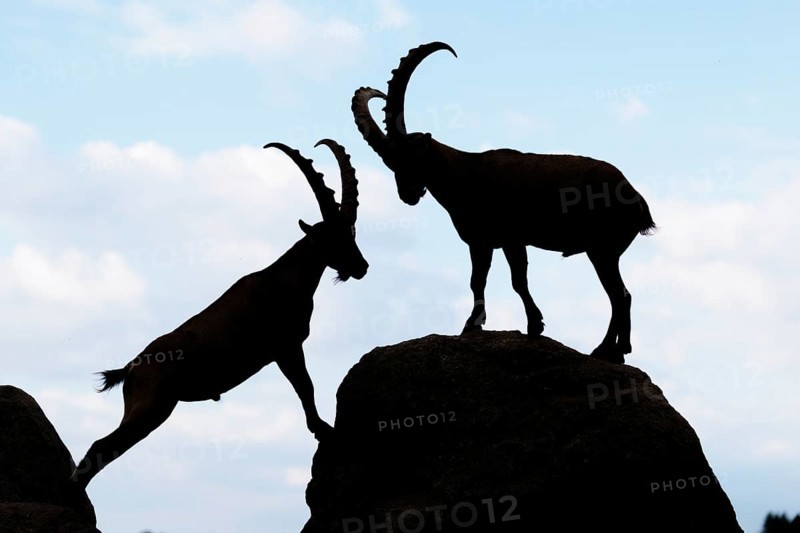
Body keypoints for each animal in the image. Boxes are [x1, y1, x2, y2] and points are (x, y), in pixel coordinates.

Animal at [70, 139, 368, 488]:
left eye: (352, 233)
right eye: (333, 238)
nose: (361, 267)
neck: (285, 281)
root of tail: (130, 368)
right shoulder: (286, 347)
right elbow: (305, 387)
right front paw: (322, 429)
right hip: (151, 407)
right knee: (99, 448)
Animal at [352, 41, 655, 364]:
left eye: (413, 157)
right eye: (389, 163)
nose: (408, 195)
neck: (465, 173)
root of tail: (636, 198)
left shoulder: (512, 239)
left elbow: (517, 280)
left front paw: (535, 325)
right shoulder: (481, 243)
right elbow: (477, 281)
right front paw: (472, 325)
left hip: (603, 250)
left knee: (618, 295)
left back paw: (606, 349)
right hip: (605, 252)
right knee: (623, 295)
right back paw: (619, 350)